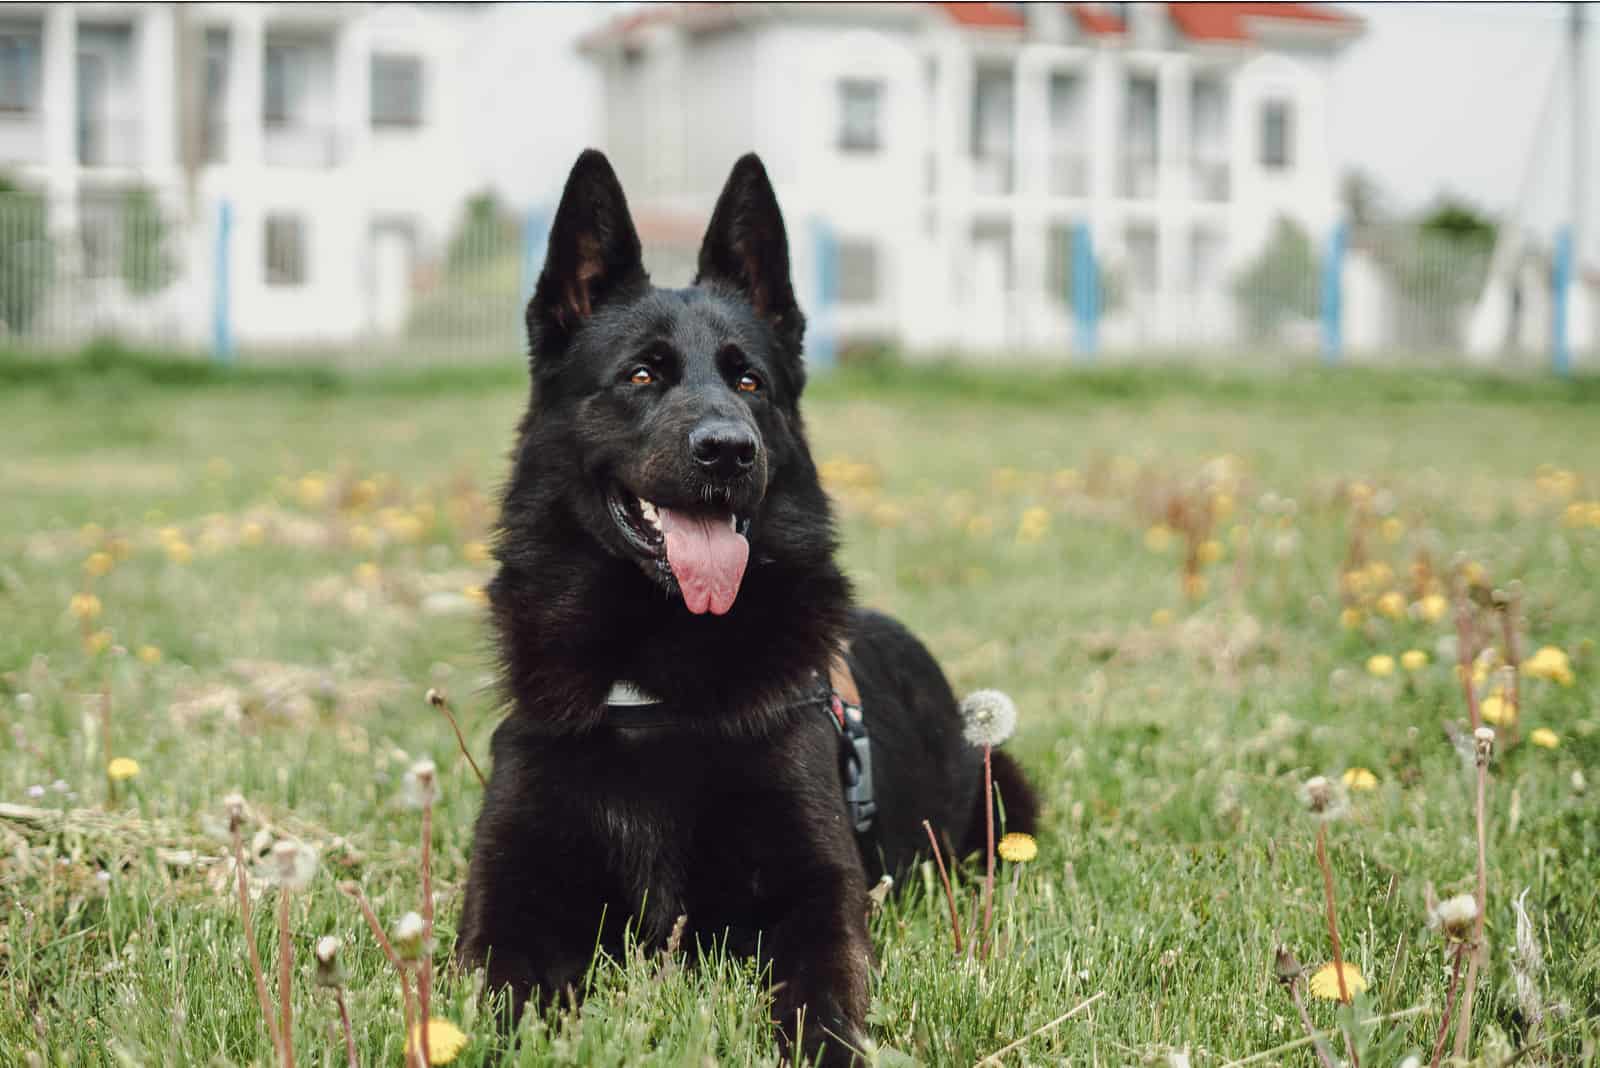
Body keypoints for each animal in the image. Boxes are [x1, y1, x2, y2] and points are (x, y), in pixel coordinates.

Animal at [457, 147, 1043, 1061]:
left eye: (748, 380)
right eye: (641, 375)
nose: (729, 450)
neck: (655, 678)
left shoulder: (820, 896)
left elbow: (820, 999)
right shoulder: (506, 902)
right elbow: (504, 1002)